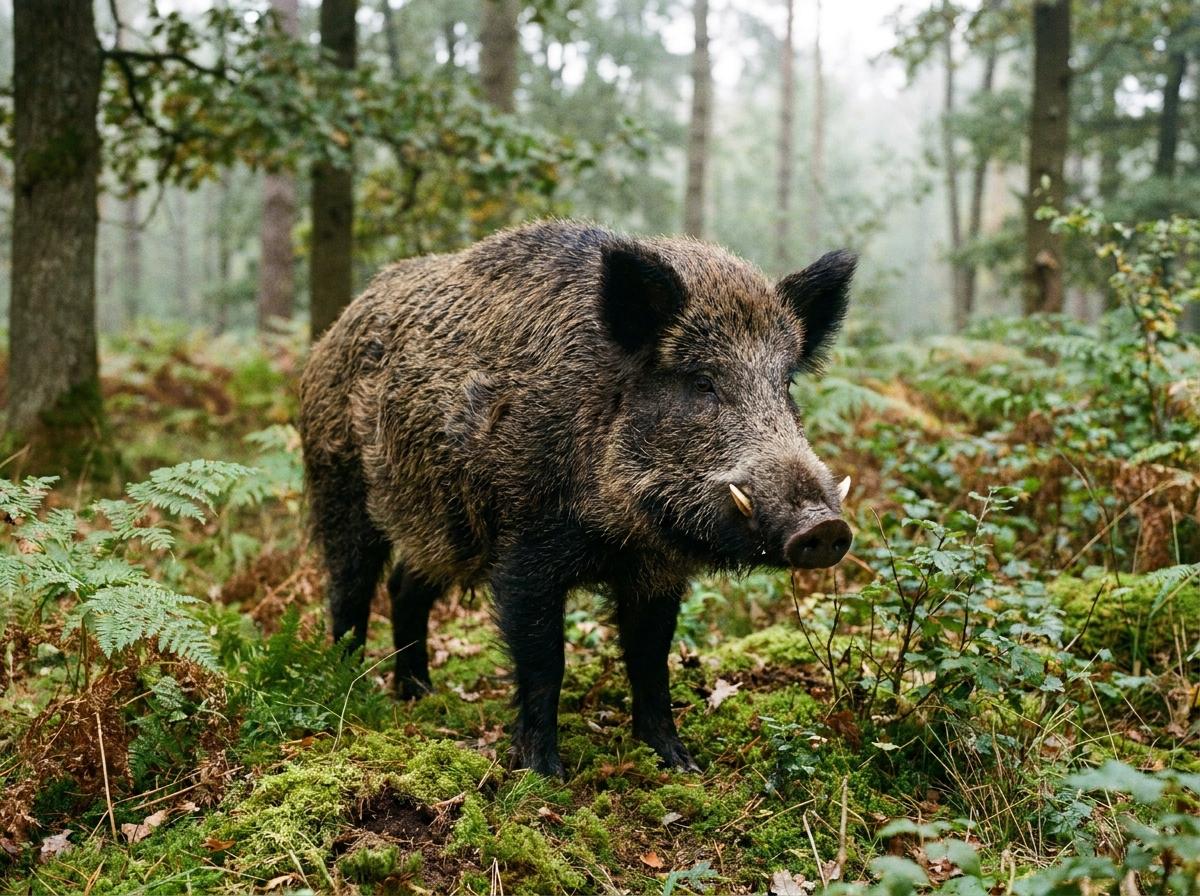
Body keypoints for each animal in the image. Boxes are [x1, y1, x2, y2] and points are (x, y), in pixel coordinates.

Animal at [298, 220, 854, 776]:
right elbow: (546, 661)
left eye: (786, 384)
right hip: (339, 484)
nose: (824, 527)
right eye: (702, 382)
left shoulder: (657, 572)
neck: (618, 533)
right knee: (350, 588)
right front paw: (545, 773)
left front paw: (679, 763)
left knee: (405, 585)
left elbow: (651, 659)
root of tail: (334, 330)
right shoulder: (524, 550)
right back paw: (351, 690)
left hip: (445, 525)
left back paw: (420, 694)